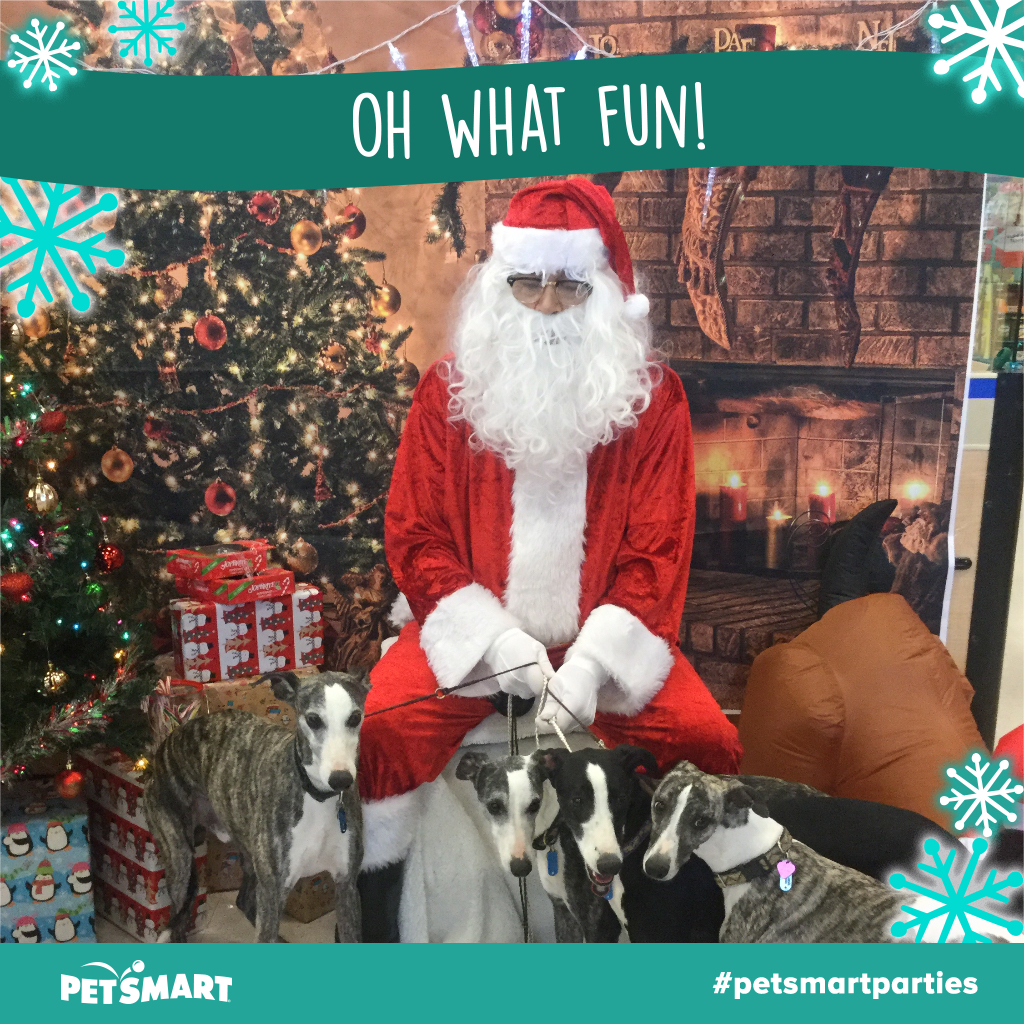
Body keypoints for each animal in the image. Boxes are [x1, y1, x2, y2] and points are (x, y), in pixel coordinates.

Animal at [145, 670, 368, 942]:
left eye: (355, 717)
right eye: (313, 719)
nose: (341, 780)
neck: (316, 796)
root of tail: (163, 749)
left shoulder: (347, 886)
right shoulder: (272, 892)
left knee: (243, 901)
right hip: (180, 862)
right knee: (179, 919)